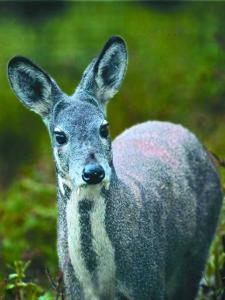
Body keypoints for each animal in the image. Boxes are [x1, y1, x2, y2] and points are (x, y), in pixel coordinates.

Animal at [7, 36, 223, 298]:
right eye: (60, 136)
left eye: (104, 128)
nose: (93, 172)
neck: (99, 277)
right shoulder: (73, 288)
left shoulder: (148, 281)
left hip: (198, 250)